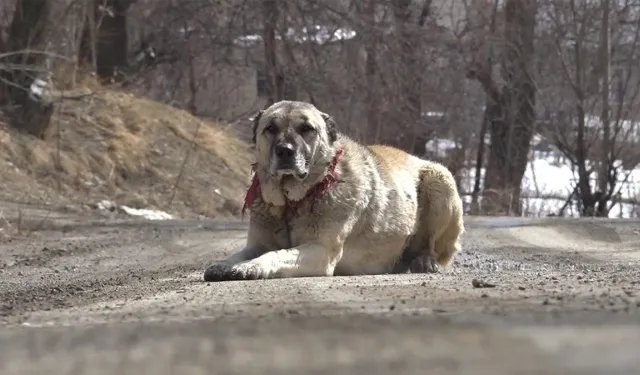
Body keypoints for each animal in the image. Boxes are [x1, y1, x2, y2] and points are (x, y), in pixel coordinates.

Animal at [202, 100, 462, 282]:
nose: (285, 151)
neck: (291, 203)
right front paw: (224, 264)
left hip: (440, 180)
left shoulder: (321, 250)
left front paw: (250, 267)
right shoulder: (256, 245)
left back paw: (424, 261)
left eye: (307, 129)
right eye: (270, 128)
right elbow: (241, 254)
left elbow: (275, 254)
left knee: (432, 247)